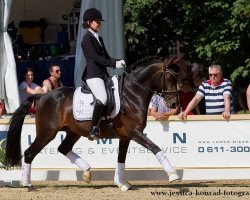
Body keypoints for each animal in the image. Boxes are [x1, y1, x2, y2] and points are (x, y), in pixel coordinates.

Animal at [4, 55, 181, 191]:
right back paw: (27, 184)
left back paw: (87, 172)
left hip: (73, 132)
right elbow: (155, 148)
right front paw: (173, 175)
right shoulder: (135, 133)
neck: (132, 94)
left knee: (63, 148)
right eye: (169, 77)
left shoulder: (126, 136)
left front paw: (121, 183)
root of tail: (42, 96)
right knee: (29, 153)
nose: (174, 105)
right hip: (47, 132)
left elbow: (121, 159)